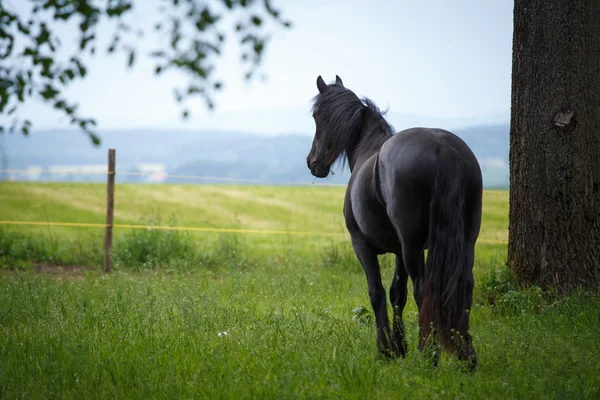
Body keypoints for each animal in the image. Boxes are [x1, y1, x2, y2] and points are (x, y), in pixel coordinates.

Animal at [308, 76, 480, 368]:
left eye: (316, 116)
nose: (312, 162)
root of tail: (442, 145)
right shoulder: (399, 251)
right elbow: (396, 293)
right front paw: (399, 347)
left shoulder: (362, 246)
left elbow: (376, 293)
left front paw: (385, 350)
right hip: (465, 241)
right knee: (464, 286)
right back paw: (466, 355)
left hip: (413, 248)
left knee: (424, 290)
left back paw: (428, 354)